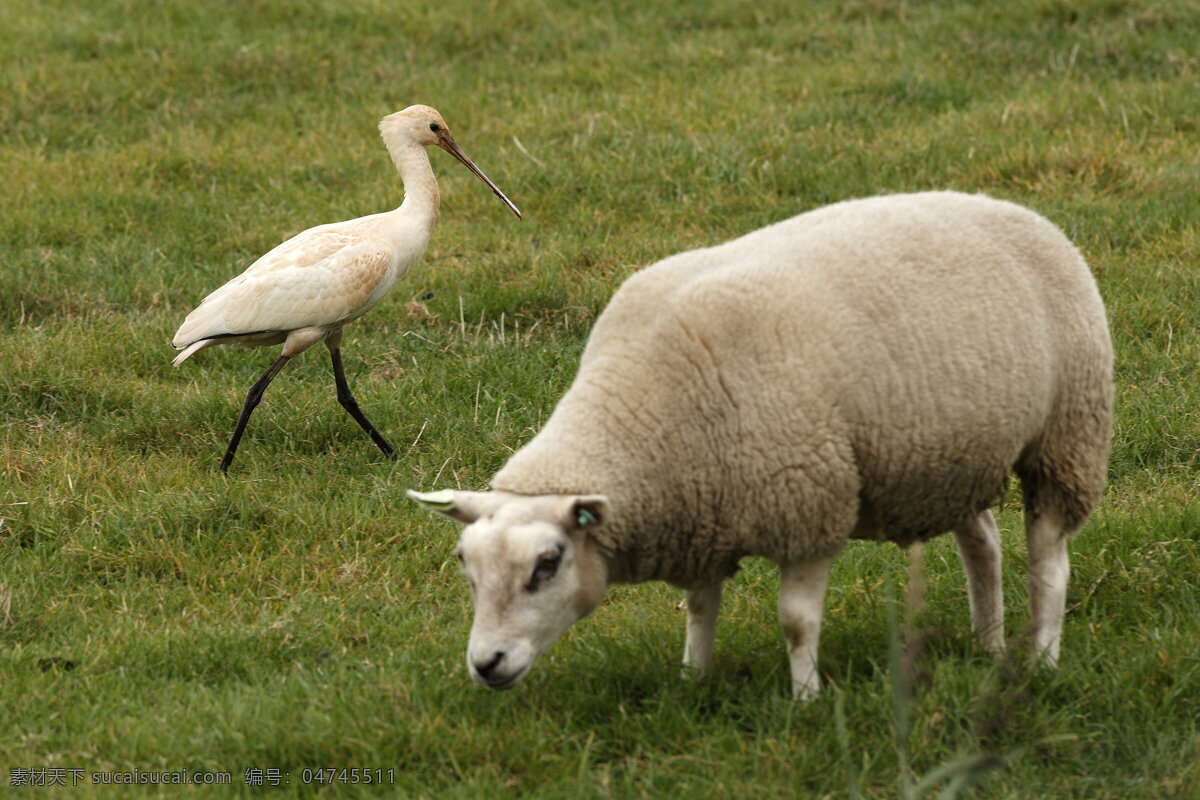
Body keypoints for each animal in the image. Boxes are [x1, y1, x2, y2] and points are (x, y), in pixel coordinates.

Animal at [408, 190, 1108, 695]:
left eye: (547, 565)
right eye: (465, 566)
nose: (486, 664)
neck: (643, 418)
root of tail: (1017, 210)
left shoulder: (809, 505)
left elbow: (796, 622)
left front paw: (807, 700)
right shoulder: (702, 514)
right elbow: (698, 607)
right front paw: (693, 682)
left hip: (1067, 434)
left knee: (1049, 562)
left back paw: (1042, 659)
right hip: (953, 454)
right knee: (982, 544)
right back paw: (988, 644)